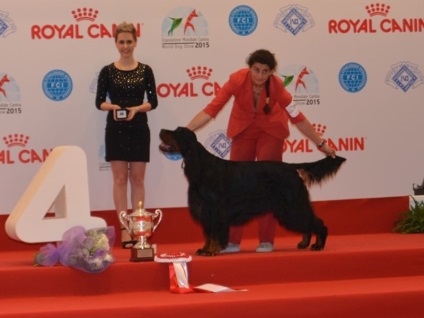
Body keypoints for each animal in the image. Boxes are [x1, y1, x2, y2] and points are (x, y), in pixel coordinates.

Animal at [161, 126, 346, 256]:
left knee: (317, 222)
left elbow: (214, 233)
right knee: (307, 222)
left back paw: (318, 245)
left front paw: (211, 251)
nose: (162, 130)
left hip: (292, 204)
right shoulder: (205, 210)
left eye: (178, 132)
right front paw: (204, 249)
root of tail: (292, 168)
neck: (201, 166)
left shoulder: (214, 210)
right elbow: (208, 233)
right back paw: (304, 243)